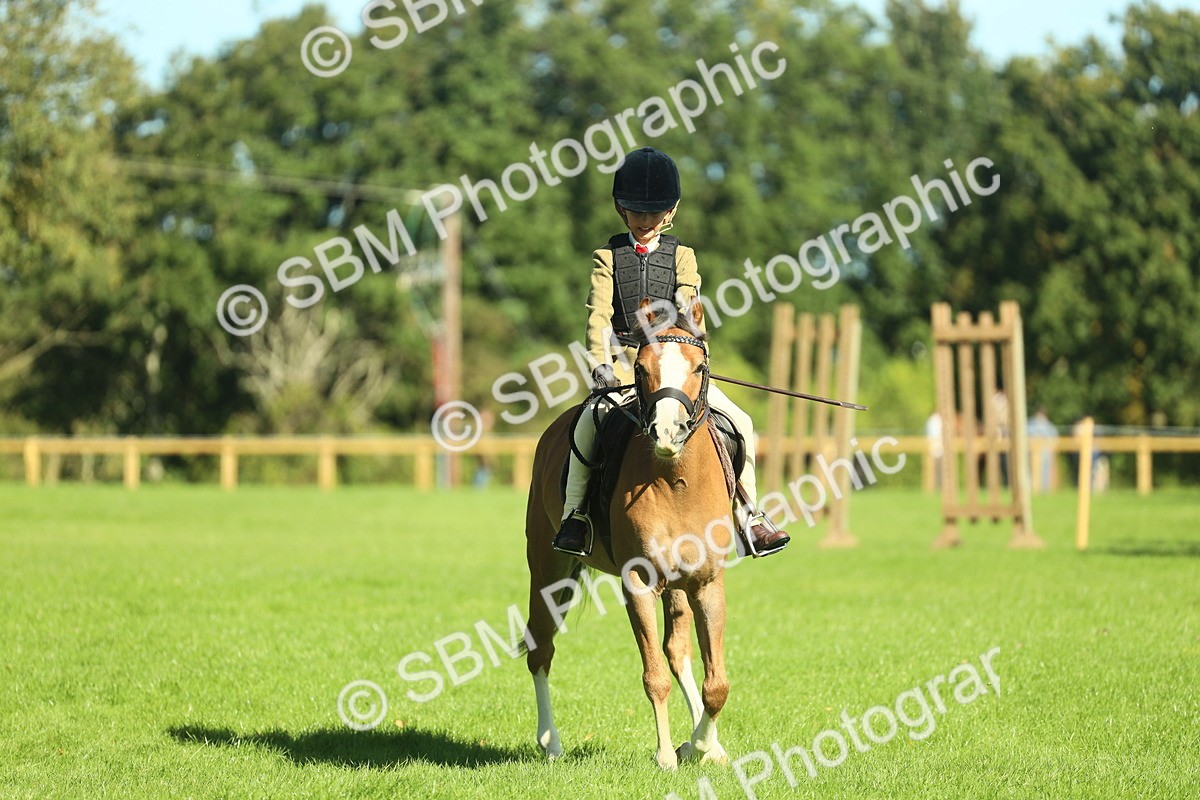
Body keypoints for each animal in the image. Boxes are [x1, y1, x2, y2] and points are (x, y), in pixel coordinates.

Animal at [522, 299, 736, 770]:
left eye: (698, 367)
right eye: (640, 368)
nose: (667, 432)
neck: (675, 480)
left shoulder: (707, 582)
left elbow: (716, 684)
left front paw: (699, 746)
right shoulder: (638, 583)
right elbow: (654, 676)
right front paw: (667, 755)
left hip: (677, 587)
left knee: (678, 651)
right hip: (548, 569)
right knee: (540, 648)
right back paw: (551, 743)